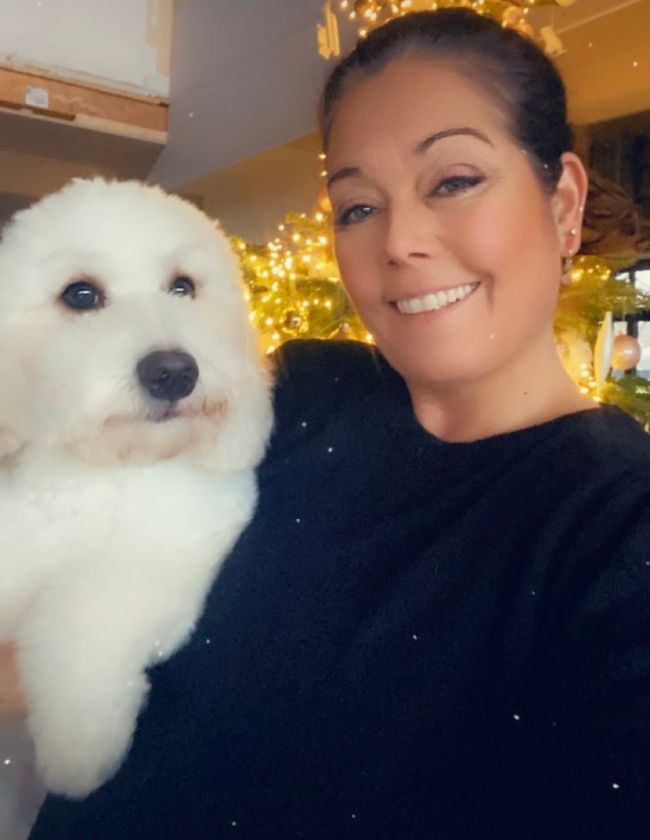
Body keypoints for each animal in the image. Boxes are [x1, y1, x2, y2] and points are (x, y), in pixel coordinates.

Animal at [0, 178, 273, 798]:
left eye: (183, 287)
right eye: (80, 295)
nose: (173, 371)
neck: (108, 477)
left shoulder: (155, 570)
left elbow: (83, 629)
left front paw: (78, 751)